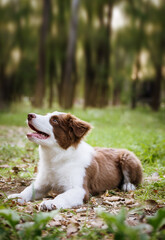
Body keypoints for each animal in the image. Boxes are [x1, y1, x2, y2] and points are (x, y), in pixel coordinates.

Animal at [8, 111, 142, 210]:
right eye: (47, 115)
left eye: (54, 120)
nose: (29, 115)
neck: (57, 158)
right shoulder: (42, 183)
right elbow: (28, 189)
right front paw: (17, 196)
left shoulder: (80, 189)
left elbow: (63, 196)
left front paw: (49, 203)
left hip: (127, 157)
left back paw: (128, 185)